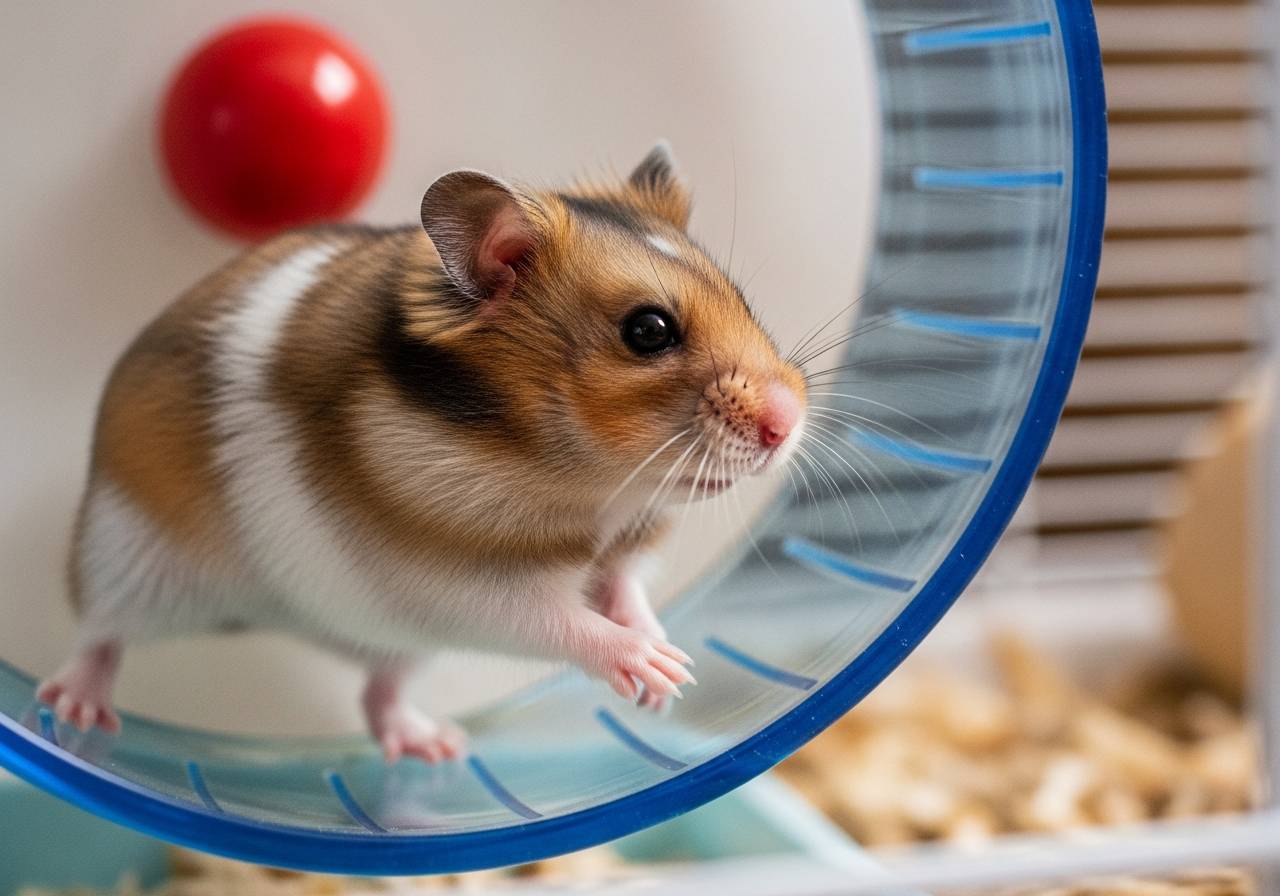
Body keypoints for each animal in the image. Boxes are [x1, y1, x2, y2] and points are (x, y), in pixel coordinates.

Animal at [37, 144, 808, 763]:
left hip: (397, 645)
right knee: (97, 634)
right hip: (124, 555)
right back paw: (73, 711)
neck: (592, 488)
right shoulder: (463, 589)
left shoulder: (621, 548)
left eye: (741, 298)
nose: (790, 423)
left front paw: (670, 680)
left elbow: (626, 590)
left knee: (379, 692)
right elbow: (562, 623)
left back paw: (433, 747)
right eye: (648, 331)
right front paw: (660, 670)